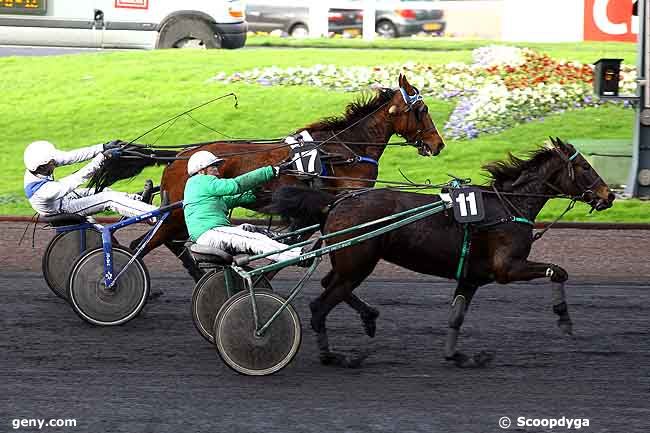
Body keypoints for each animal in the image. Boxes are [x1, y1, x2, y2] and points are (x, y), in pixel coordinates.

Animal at [268, 138, 612, 368]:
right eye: (584, 167)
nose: (608, 196)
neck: (508, 208)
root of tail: (336, 202)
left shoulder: (472, 278)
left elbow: (456, 317)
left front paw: (459, 355)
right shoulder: (507, 268)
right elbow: (558, 270)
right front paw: (564, 319)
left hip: (352, 263)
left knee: (330, 286)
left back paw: (368, 318)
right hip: (358, 263)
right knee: (320, 305)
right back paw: (333, 356)